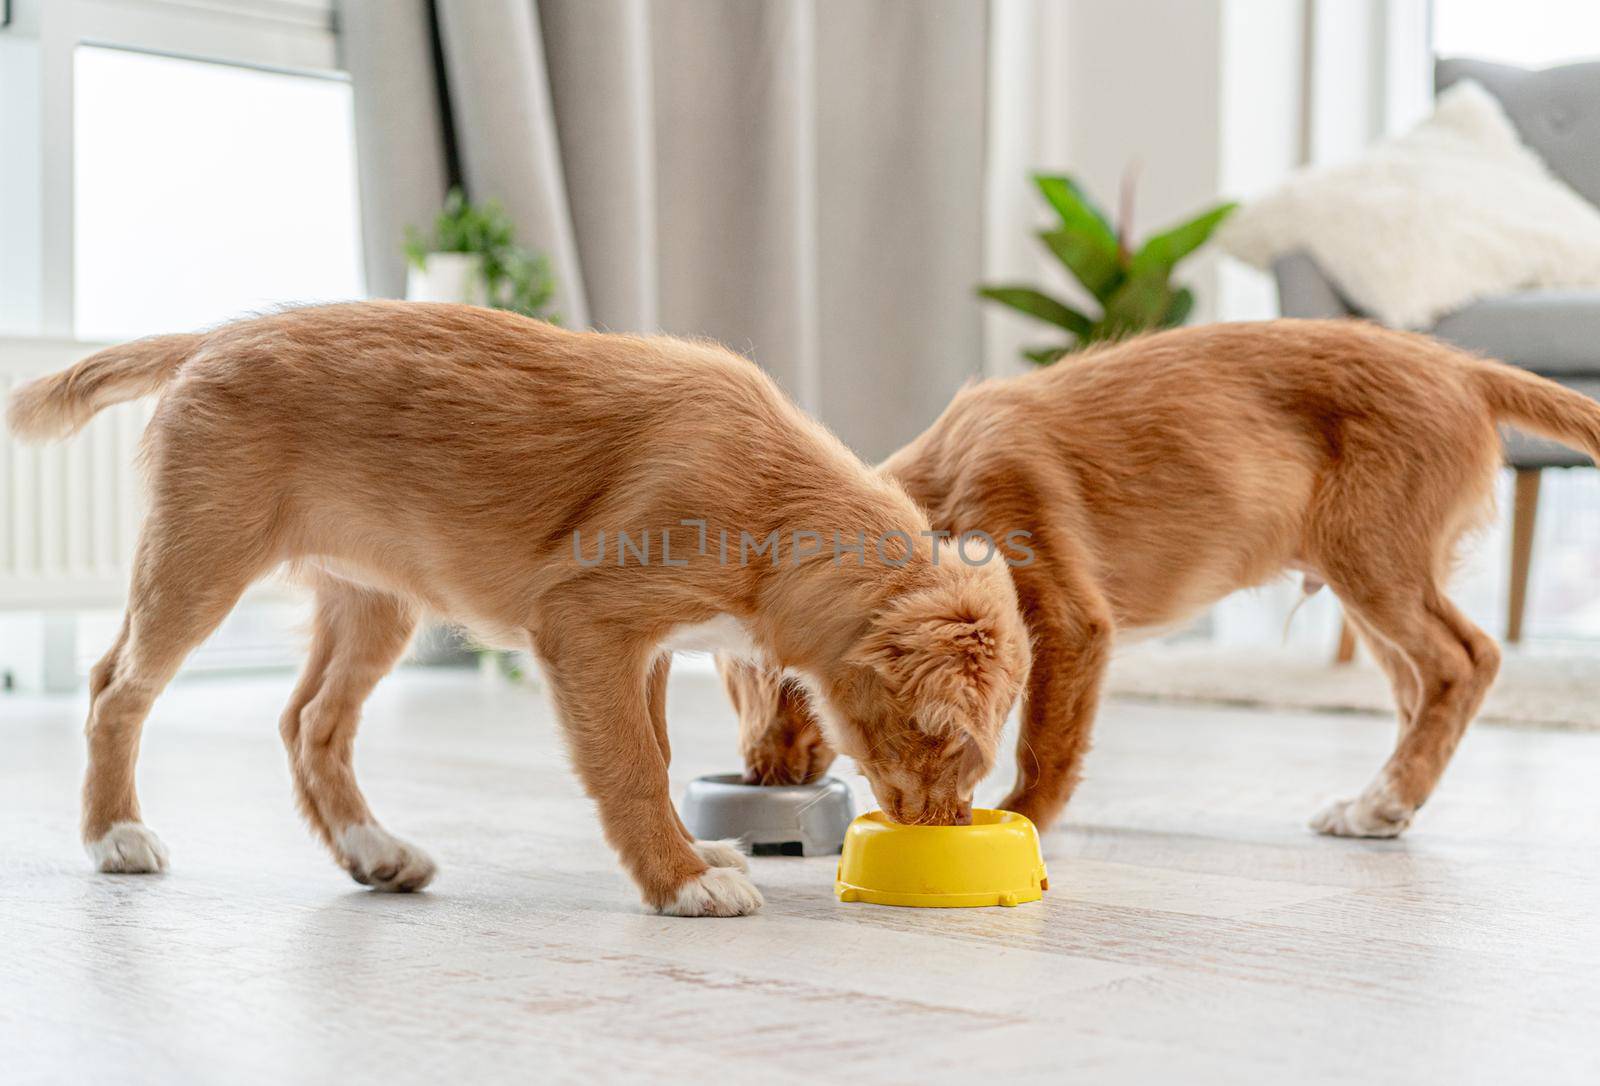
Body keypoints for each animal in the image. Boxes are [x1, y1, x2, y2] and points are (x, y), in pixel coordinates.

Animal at [9, 299, 1024, 914]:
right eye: (943, 740)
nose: (948, 831)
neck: (778, 494)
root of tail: (209, 338)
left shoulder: (645, 647)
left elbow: (655, 751)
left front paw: (696, 856)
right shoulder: (587, 625)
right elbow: (632, 765)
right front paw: (682, 879)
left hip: (375, 600)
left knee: (310, 721)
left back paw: (375, 849)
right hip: (200, 561)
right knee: (115, 688)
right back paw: (114, 835)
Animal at [726, 318, 1600, 838]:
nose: (757, 776)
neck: (938, 487)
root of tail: (1463, 369)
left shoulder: (1070, 620)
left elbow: (1047, 742)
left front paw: (1025, 817)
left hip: (1374, 559)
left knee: (1466, 659)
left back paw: (1389, 796)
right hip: (1370, 577)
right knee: (1421, 683)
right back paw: (1381, 803)